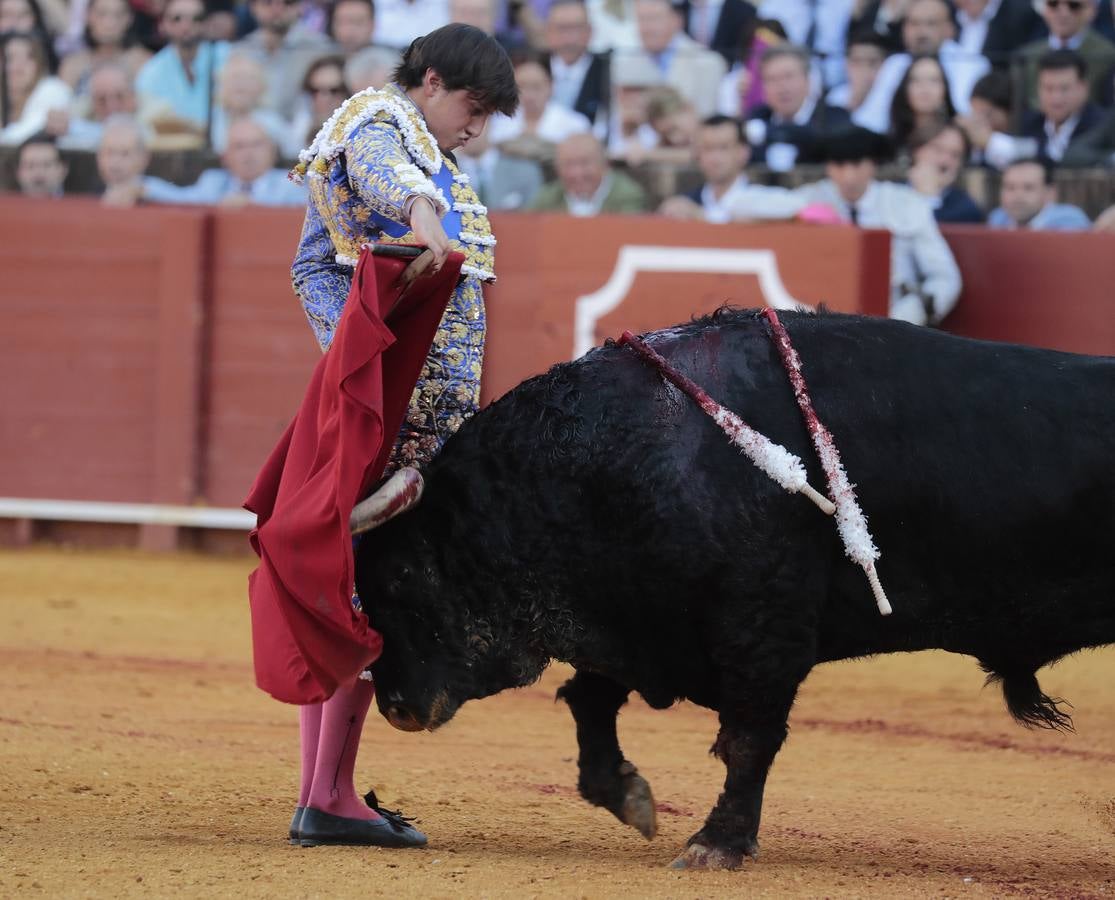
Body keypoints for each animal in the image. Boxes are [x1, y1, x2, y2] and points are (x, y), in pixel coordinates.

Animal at [350, 305, 1115, 869]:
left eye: (400, 574)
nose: (395, 707)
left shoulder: (762, 631)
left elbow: (748, 737)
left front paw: (715, 844)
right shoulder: (640, 619)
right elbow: (588, 698)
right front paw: (627, 796)